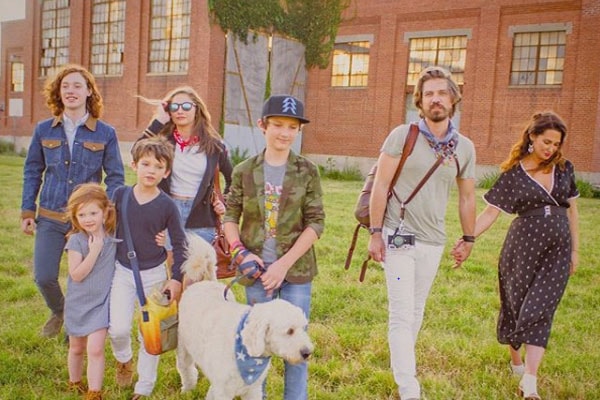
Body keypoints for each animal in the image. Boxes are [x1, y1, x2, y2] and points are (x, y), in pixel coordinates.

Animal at [177, 233, 314, 399]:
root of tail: (206, 282)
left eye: (304, 328)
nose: (307, 352)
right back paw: (187, 390)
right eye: (290, 331)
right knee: (186, 369)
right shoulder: (223, 390)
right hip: (183, 348)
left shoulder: (253, 389)